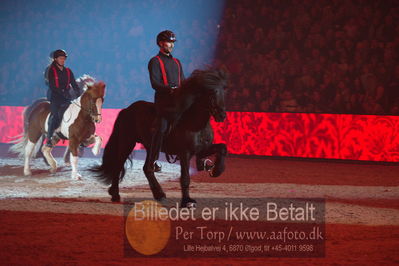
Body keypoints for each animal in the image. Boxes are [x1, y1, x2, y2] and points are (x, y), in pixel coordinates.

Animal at [91, 69, 228, 208]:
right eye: (211, 93)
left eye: (224, 91)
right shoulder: (185, 153)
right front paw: (187, 201)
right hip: (127, 142)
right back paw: (117, 195)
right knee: (121, 166)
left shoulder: (201, 150)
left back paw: (157, 194)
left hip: (150, 147)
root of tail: (127, 110)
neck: (194, 123)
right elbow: (185, 178)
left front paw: (216, 171)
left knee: (147, 168)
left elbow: (222, 148)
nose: (222, 115)